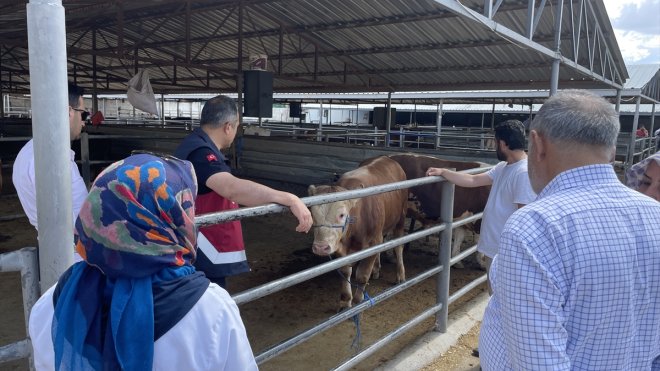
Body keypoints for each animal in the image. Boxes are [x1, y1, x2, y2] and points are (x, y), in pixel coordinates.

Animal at [308, 155, 408, 310]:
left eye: (342, 215)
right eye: (312, 214)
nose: (320, 247)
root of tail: (386, 158)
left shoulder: (373, 242)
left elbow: (362, 275)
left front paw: (358, 300)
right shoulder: (340, 247)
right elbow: (345, 272)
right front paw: (345, 301)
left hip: (401, 218)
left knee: (398, 246)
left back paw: (400, 274)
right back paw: (376, 269)